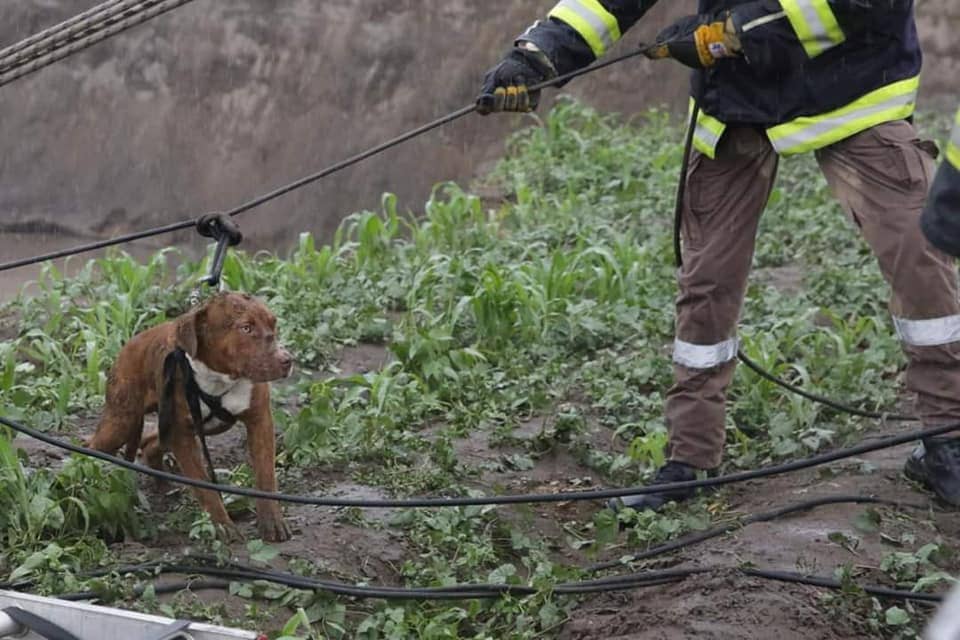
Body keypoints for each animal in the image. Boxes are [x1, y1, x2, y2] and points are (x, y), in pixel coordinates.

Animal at [89, 294, 292, 540]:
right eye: (246, 328)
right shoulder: (182, 436)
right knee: (93, 447)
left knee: (150, 443)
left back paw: (162, 483)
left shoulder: (260, 421)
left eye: (274, 323)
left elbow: (265, 476)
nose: (287, 360)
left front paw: (272, 522)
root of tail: (131, 343)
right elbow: (205, 487)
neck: (219, 377)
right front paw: (223, 526)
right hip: (121, 422)